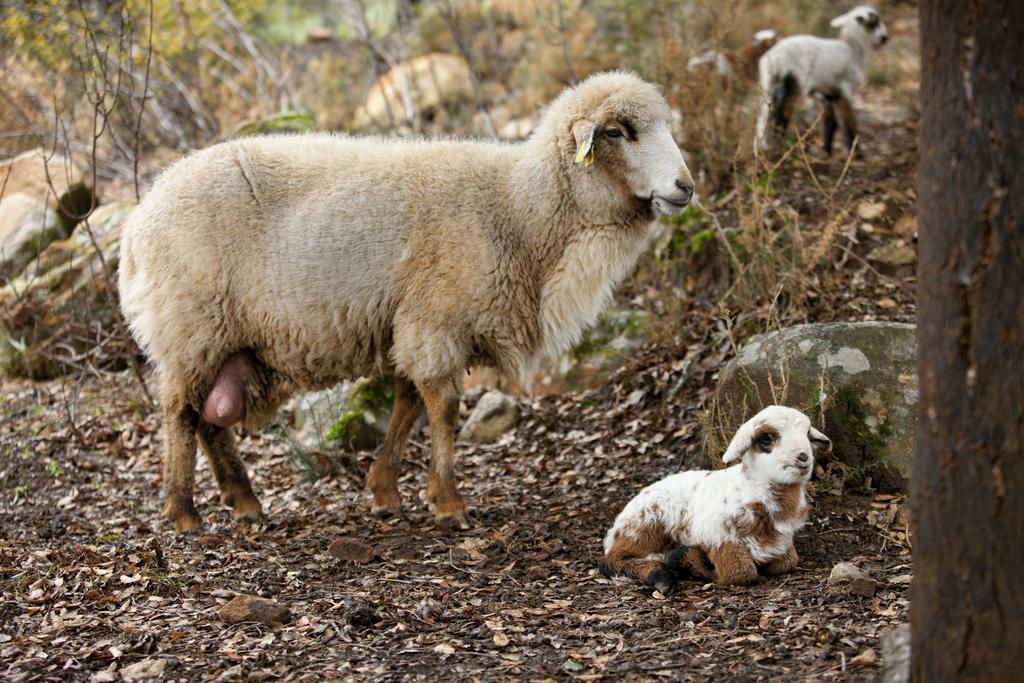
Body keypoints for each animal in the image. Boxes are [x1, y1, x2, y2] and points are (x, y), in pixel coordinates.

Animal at [117, 72, 696, 536]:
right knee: (180, 413)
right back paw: (183, 512)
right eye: (619, 132)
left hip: (227, 341)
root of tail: (136, 225)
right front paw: (448, 501)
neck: (517, 211)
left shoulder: (411, 321)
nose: (686, 186)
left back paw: (244, 501)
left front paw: (385, 492)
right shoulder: (434, 317)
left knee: (211, 419)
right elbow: (442, 406)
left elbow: (406, 404)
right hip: (190, 325)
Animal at [598, 405, 831, 593]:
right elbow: (739, 572)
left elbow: (788, 561)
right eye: (766, 438)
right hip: (648, 522)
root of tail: (616, 525)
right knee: (611, 560)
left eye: (807, 433)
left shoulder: (781, 543)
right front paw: (687, 561)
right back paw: (661, 577)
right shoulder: (718, 536)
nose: (804, 457)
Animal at [753, 5, 888, 154]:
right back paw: (778, 145)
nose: (885, 38)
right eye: (873, 23)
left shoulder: (826, 92)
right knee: (782, 115)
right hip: (795, 82)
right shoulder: (844, 89)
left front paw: (827, 150)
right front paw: (855, 152)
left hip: (768, 83)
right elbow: (849, 121)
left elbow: (831, 120)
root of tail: (772, 58)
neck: (853, 49)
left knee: (764, 116)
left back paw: (764, 145)